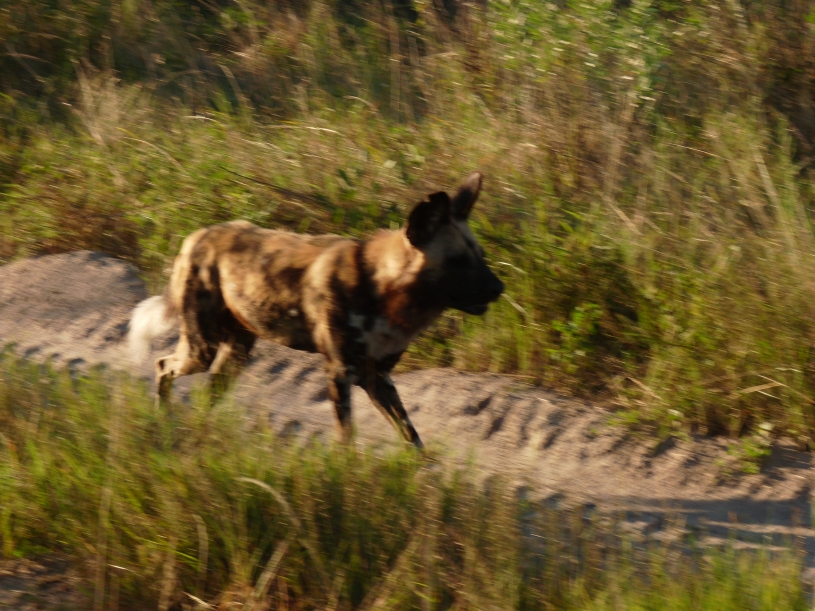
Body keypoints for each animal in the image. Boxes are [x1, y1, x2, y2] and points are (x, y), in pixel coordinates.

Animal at [128, 172, 504, 448]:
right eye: (457, 261)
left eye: (480, 255)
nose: (499, 288)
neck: (384, 288)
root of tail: (198, 235)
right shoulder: (340, 373)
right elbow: (346, 440)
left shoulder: (378, 379)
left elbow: (412, 439)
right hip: (201, 351)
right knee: (162, 366)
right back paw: (162, 422)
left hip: (235, 353)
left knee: (205, 396)